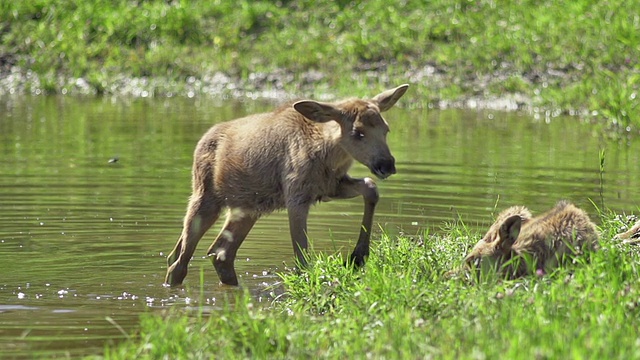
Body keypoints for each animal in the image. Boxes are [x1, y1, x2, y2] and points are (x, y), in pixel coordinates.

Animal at [165, 85, 410, 286]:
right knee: (179, 262)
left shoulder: (330, 188)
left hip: (246, 209)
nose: (387, 165)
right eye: (357, 133)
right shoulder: (296, 197)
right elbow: (301, 256)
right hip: (206, 198)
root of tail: (201, 141)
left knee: (218, 253)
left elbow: (370, 187)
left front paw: (358, 255)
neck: (329, 156)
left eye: (386, 129)